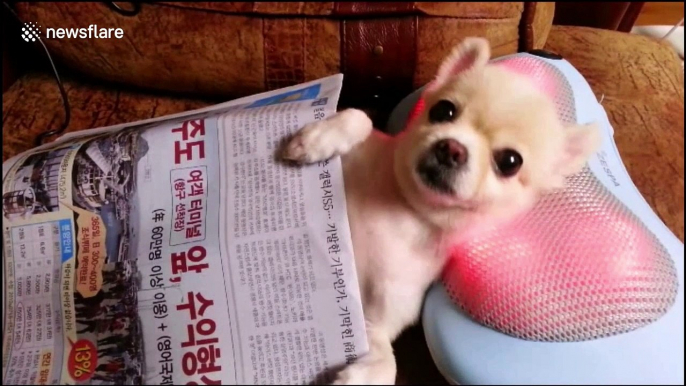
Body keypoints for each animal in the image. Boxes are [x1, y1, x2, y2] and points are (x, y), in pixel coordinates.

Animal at [282, 37, 600, 384]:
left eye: (510, 162)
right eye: (443, 110)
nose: (452, 148)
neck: (407, 206)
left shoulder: (376, 319)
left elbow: (386, 363)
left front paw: (356, 379)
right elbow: (360, 117)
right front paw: (317, 139)